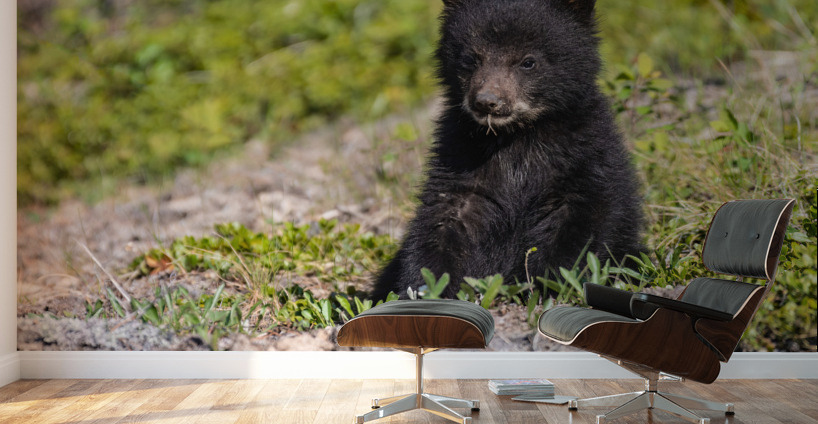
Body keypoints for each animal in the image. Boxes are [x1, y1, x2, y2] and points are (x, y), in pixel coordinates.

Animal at [371, 0, 644, 300]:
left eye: (528, 61)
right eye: (471, 58)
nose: (487, 101)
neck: (515, 137)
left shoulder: (584, 156)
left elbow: (580, 224)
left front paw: (545, 283)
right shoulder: (460, 157)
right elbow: (442, 220)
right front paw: (426, 286)